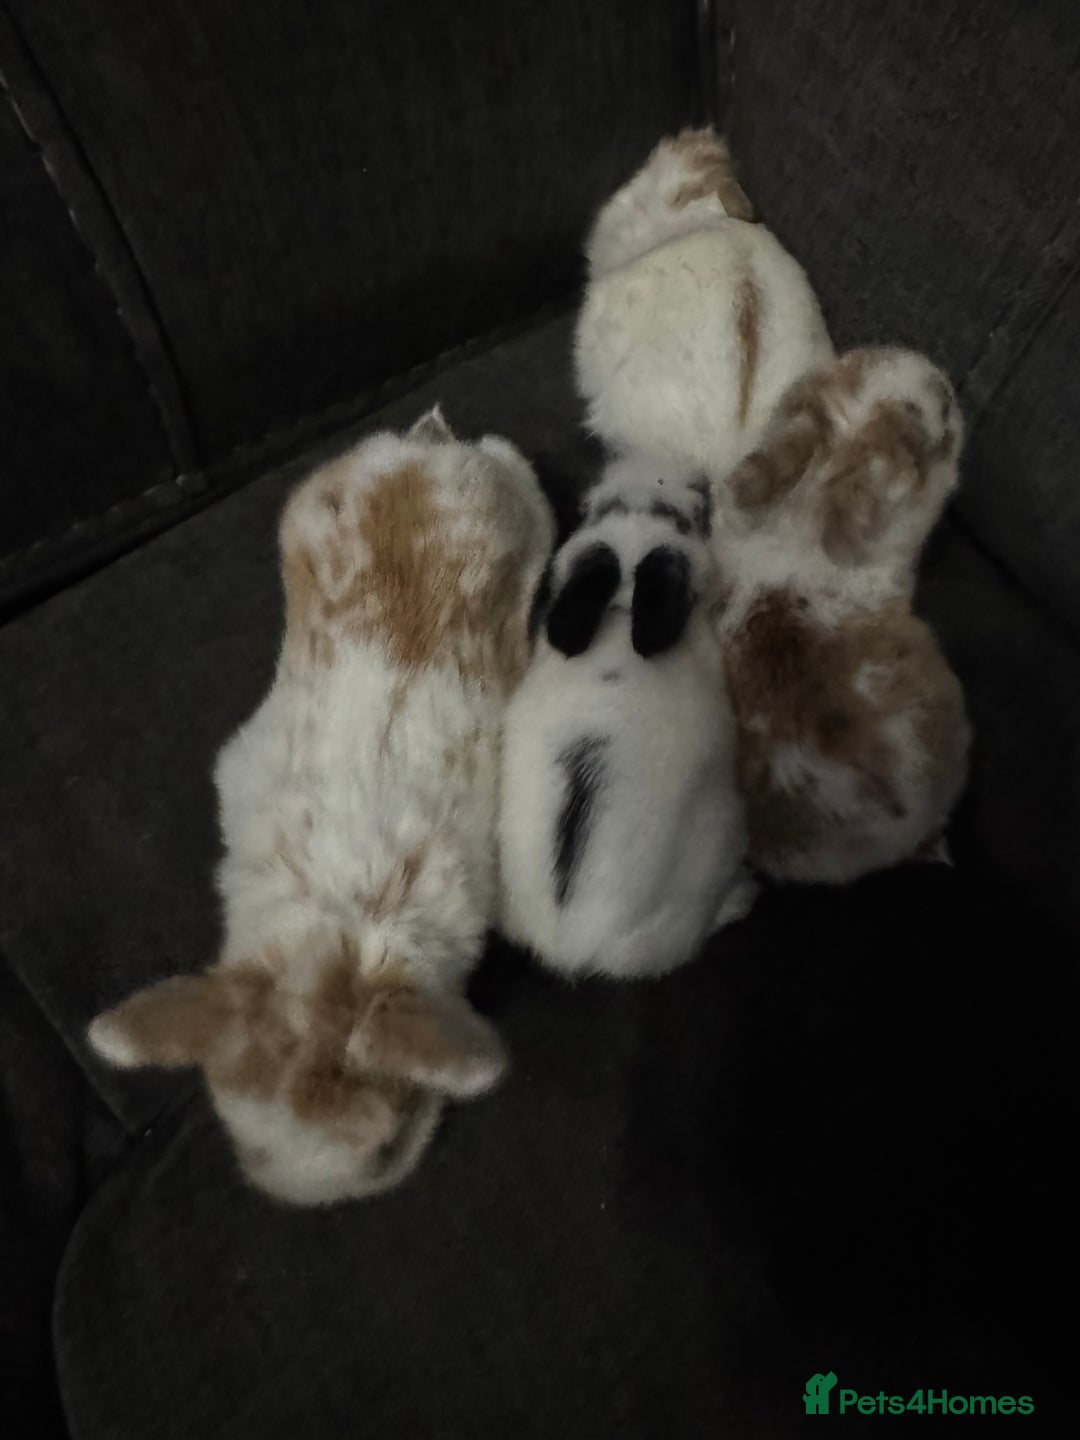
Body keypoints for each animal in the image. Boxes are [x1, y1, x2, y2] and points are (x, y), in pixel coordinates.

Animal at [498, 455, 755, 980]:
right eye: (681, 521)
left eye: (597, 509)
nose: (695, 479)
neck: (619, 614)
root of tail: (573, 947)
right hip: (715, 839)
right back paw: (742, 897)